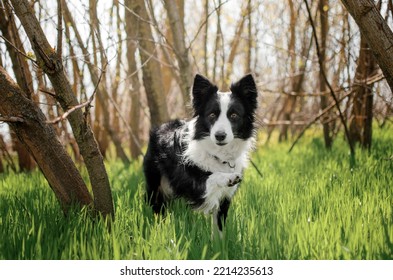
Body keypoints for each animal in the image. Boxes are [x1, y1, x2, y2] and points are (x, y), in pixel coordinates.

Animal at [142, 73, 258, 233]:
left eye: (234, 115)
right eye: (212, 115)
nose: (220, 136)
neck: (218, 154)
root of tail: (161, 126)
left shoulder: (225, 199)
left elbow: (219, 229)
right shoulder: (191, 184)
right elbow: (210, 177)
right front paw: (228, 177)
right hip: (155, 184)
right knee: (158, 207)